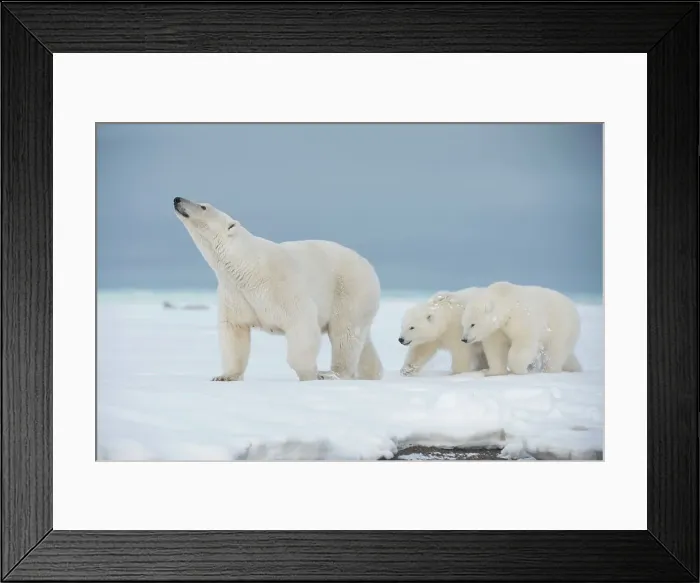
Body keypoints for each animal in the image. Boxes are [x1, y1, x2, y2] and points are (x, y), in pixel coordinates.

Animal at [173, 197, 383, 382]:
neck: (246, 266)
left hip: (350, 290)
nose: (177, 199)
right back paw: (372, 373)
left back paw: (332, 373)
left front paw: (309, 374)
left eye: (203, 206)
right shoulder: (235, 294)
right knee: (361, 339)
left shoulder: (281, 286)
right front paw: (225, 376)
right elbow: (234, 331)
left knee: (345, 334)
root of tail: (369, 266)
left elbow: (301, 323)